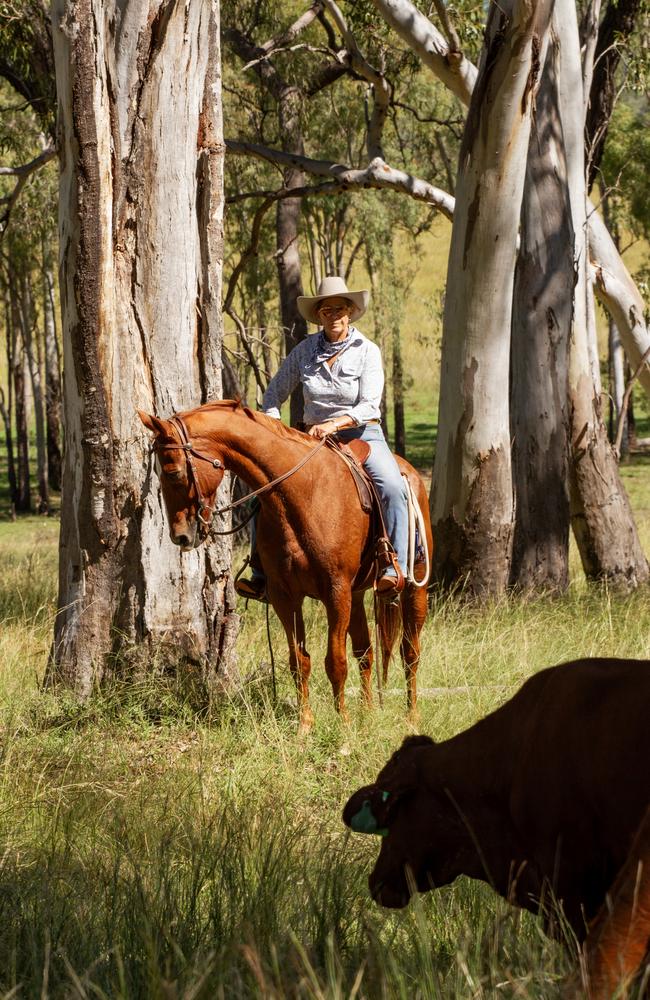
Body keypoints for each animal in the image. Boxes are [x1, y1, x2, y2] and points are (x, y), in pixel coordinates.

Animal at [138, 402, 430, 732]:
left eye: (173, 473)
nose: (181, 537)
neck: (303, 494)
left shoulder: (336, 592)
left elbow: (335, 661)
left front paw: (342, 724)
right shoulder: (284, 596)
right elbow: (299, 662)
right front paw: (306, 725)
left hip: (414, 588)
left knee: (410, 652)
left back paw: (411, 717)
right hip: (356, 595)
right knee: (365, 652)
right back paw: (367, 713)